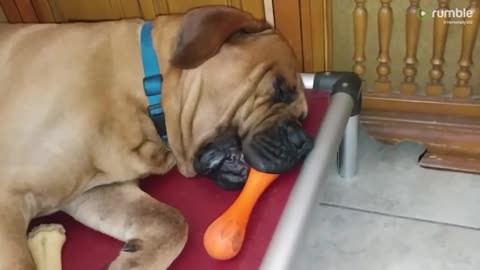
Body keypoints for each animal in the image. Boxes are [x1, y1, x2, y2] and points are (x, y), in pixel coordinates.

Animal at [0, 5, 314, 268]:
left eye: (301, 118)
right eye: (280, 89)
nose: (304, 143)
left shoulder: (93, 190)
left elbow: (173, 223)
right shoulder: (8, 199)